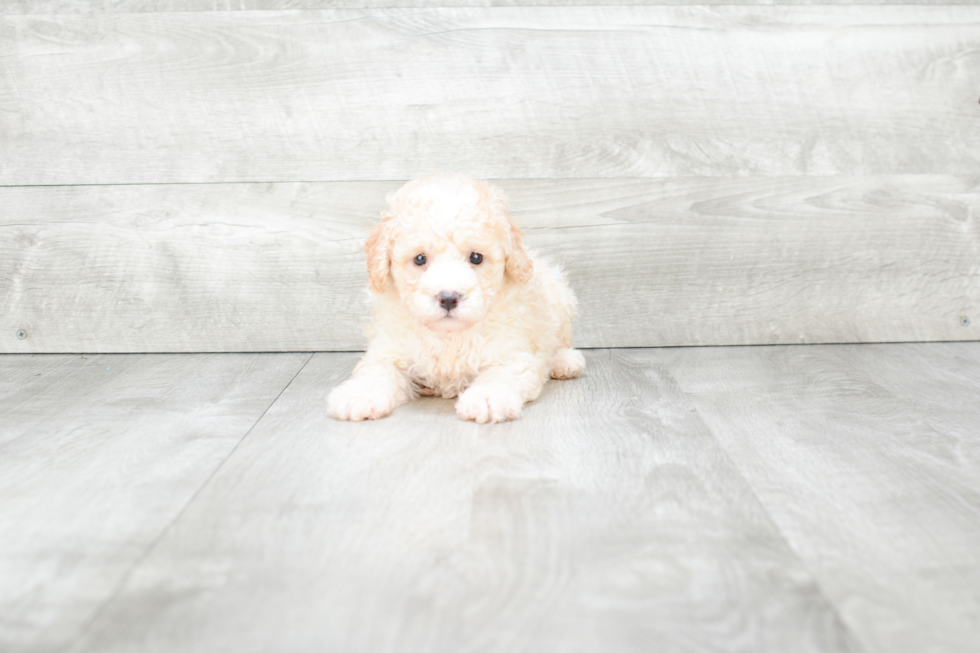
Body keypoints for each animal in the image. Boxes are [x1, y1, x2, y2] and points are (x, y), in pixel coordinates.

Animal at [330, 173, 584, 422]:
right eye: (420, 259)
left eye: (476, 257)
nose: (449, 298)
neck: (448, 335)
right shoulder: (390, 349)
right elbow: (376, 371)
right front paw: (359, 395)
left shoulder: (511, 353)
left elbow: (500, 375)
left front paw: (487, 398)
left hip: (559, 298)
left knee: (560, 340)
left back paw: (565, 362)